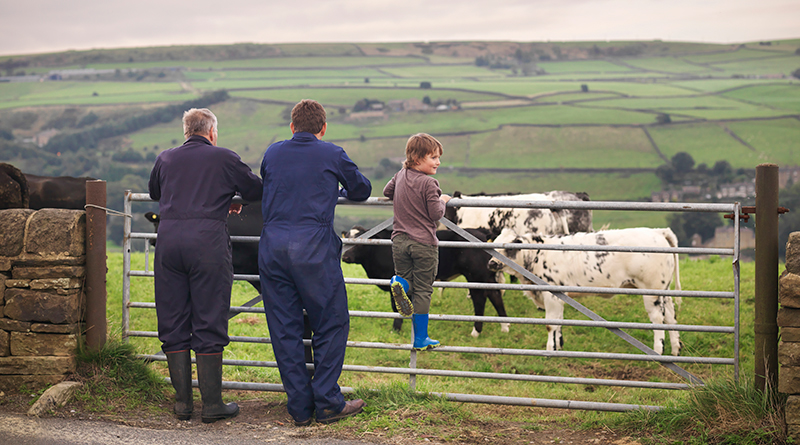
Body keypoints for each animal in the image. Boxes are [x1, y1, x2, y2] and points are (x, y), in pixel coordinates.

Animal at [342, 225, 506, 336]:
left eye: (361, 241)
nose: (345, 256)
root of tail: (479, 231)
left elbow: (396, 307)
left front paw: (396, 329)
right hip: (485, 275)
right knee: (495, 296)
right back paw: (504, 327)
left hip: (476, 276)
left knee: (480, 299)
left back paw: (476, 331)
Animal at [488, 227, 680, 356]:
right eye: (495, 243)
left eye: (509, 246)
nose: (491, 263)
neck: (538, 254)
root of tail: (658, 232)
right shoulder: (560, 296)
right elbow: (559, 323)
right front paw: (559, 347)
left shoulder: (551, 295)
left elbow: (551, 324)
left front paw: (550, 350)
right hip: (664, 291)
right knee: (671, 317)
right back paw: (676, 349)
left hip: (652, 291)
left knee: (658, 320)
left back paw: (658, 352)